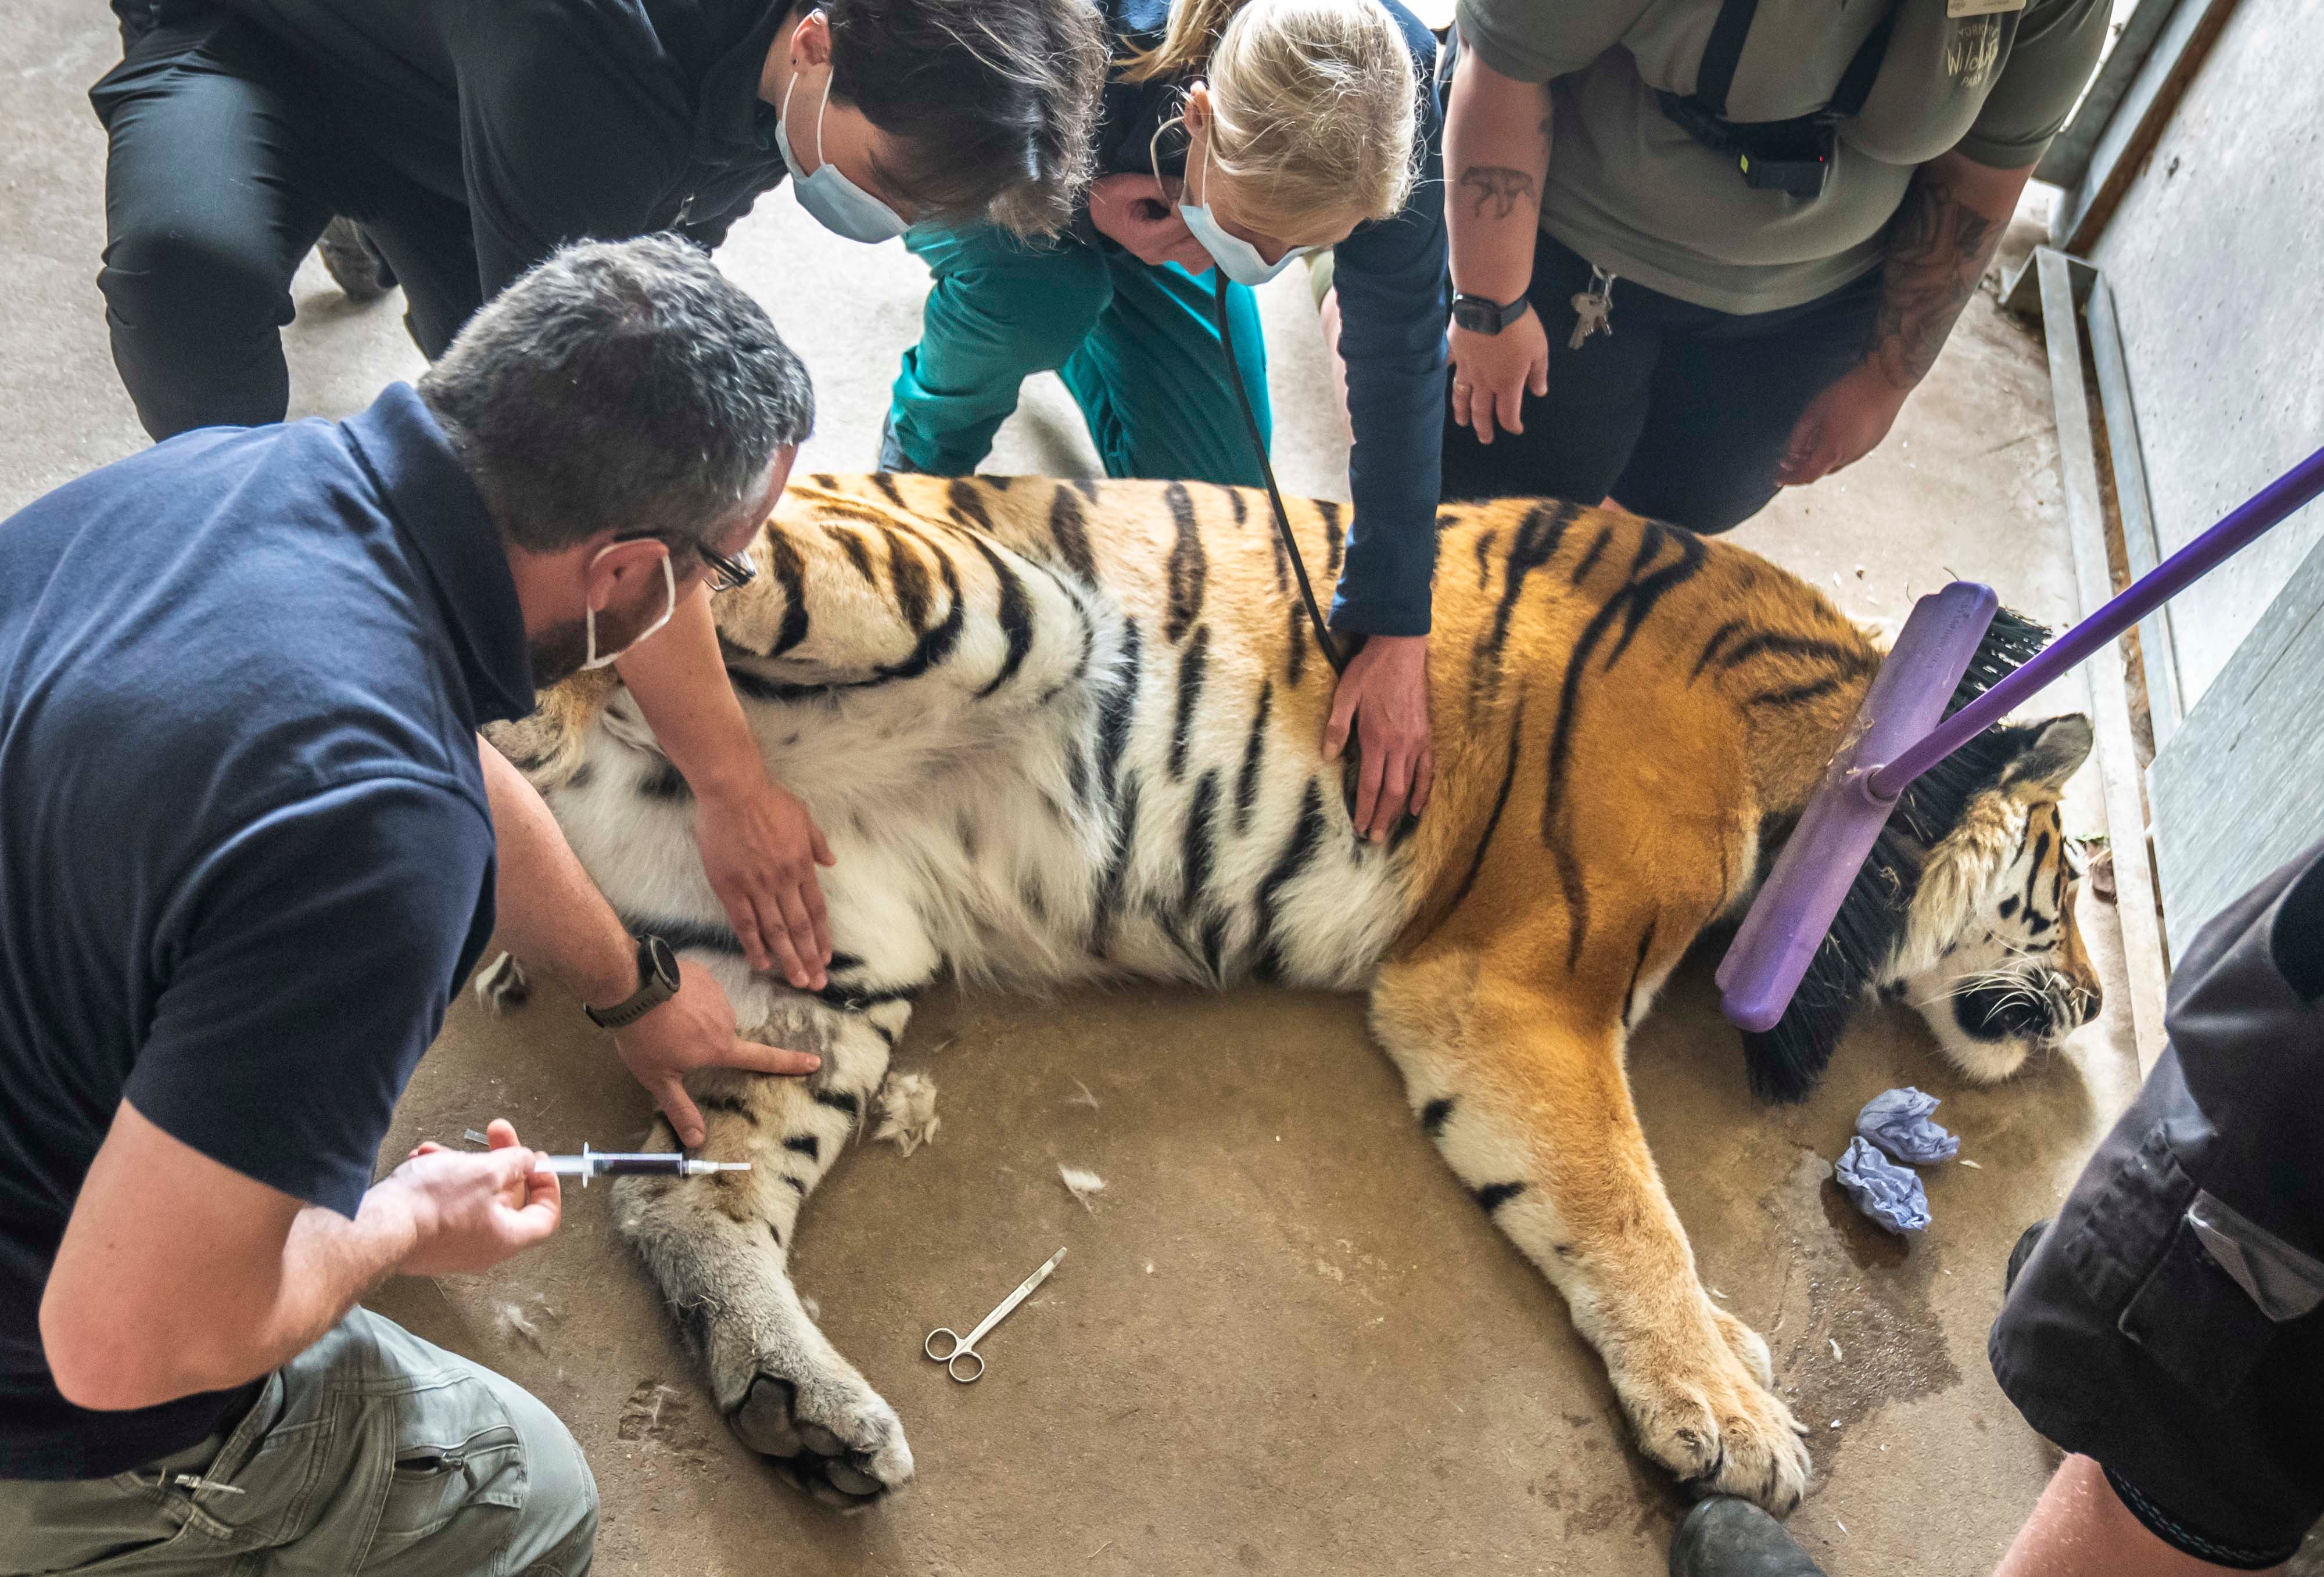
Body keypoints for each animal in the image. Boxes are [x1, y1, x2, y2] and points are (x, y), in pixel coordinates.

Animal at [484, 471, 2103, 1516]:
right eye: (2081, 872)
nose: (2094, 1007)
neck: (1845, 753)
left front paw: (1731, 1363)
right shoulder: (1519, 984)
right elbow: (1627, 1202)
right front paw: (1728, 1411)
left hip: (820, 955)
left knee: (683, 1196)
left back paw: (801, 1412)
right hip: (976, 592)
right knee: (645, 576)